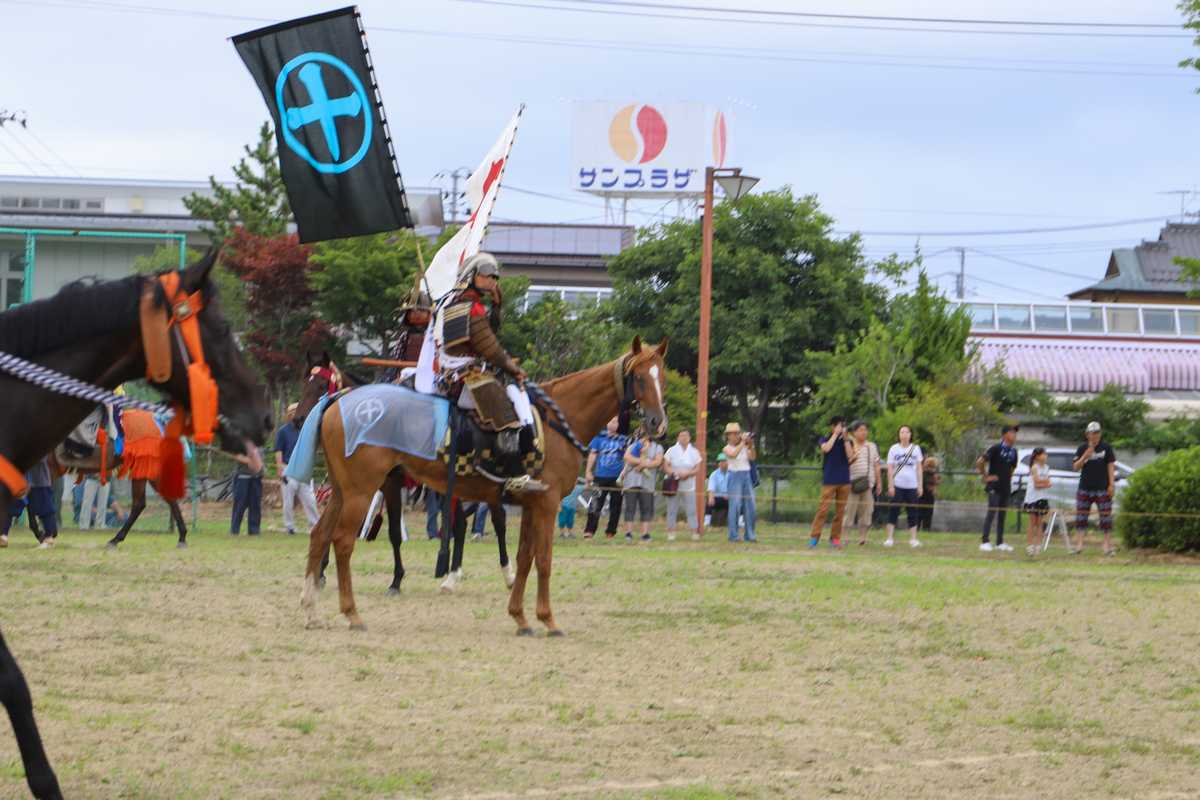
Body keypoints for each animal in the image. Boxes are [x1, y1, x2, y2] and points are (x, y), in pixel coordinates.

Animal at [300, 335, 672, 633]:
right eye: (640, 378)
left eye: (661, 377)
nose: (658, 422)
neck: (558, 420)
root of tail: (340, 400)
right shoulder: (547, 504)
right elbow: (544, 560)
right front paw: (548, 619)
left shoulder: (532, 504)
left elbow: (524, 557)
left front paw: (520, 616)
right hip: (361, 491)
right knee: (342, 541)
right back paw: (352, 613)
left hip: (343, 491)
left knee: (319, 535)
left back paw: (312, 609)